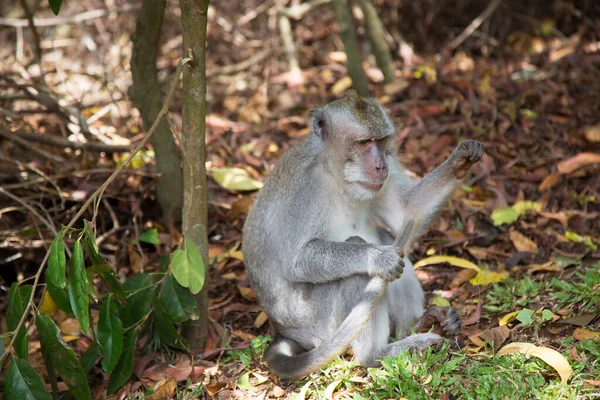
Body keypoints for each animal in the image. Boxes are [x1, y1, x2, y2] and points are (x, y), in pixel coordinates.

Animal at [243, 92, 482, 380]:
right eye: (364, 142)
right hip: (318, 321)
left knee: (387, 239)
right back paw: (377, 354)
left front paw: (459, 161)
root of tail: (284, 332)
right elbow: (297, 262)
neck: (335, 173)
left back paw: (417, 324)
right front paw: (378, 259)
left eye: (380, 141)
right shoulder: (301, 188)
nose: (381, 166)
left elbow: (406, 212)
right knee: (359, 271)